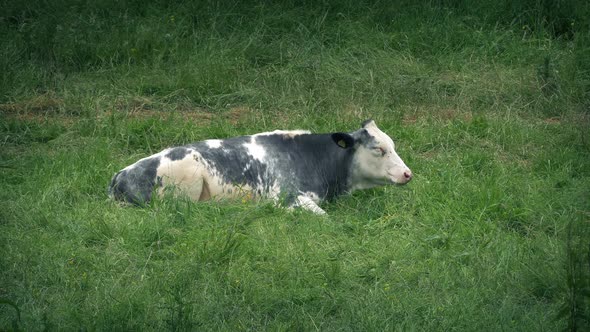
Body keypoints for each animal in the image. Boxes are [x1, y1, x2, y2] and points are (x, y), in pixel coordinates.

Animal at [108, 120, 412, 214]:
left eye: (393, 145)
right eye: (379, 149)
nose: (407, 173)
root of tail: (120, 174)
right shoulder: (286, 197)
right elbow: (324, 218)